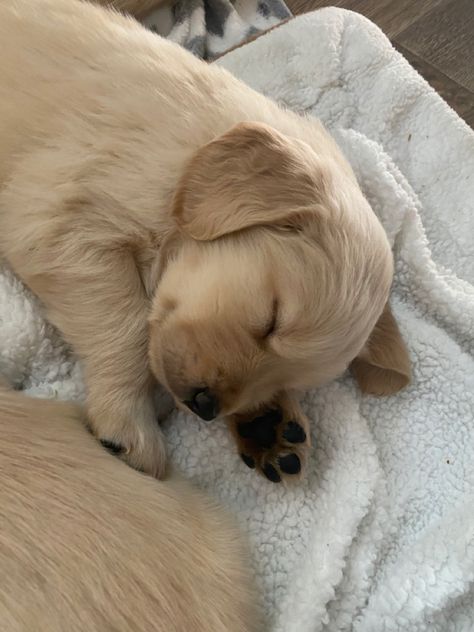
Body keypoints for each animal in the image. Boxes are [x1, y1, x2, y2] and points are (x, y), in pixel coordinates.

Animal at [0, 0, 410, 484]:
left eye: (289, 381)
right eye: (272, 320)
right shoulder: (58, 216)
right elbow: (128, 327)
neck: (190, 161)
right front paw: (130, 420)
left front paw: (266, 421)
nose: (205, 405)